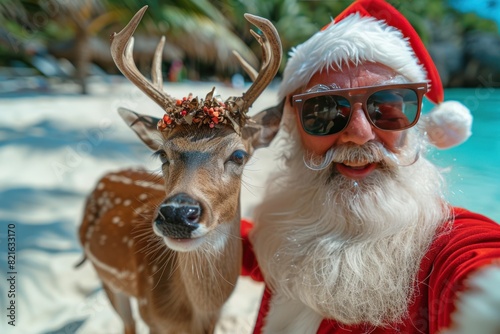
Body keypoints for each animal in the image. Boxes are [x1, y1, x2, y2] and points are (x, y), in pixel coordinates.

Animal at [77, 5, 282, 334]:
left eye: (238, 154)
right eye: (162, 152)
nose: (177, 214)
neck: (193, 312)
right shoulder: (152, 315)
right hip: (105, 275)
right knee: (127, 323)